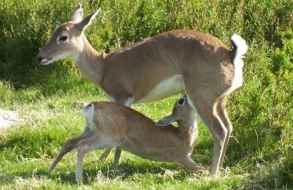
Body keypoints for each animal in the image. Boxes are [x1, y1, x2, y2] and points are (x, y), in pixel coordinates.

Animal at [48, 96, 203, 183]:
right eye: (181, 101)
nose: (185, 94)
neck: (183, 135)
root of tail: (91, 106)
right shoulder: (180, 156)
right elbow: (201, 168)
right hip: (106, 136)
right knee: (82, 147)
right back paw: (79, 180)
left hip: (90, 130)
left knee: (70, 142)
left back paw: (50, 171)